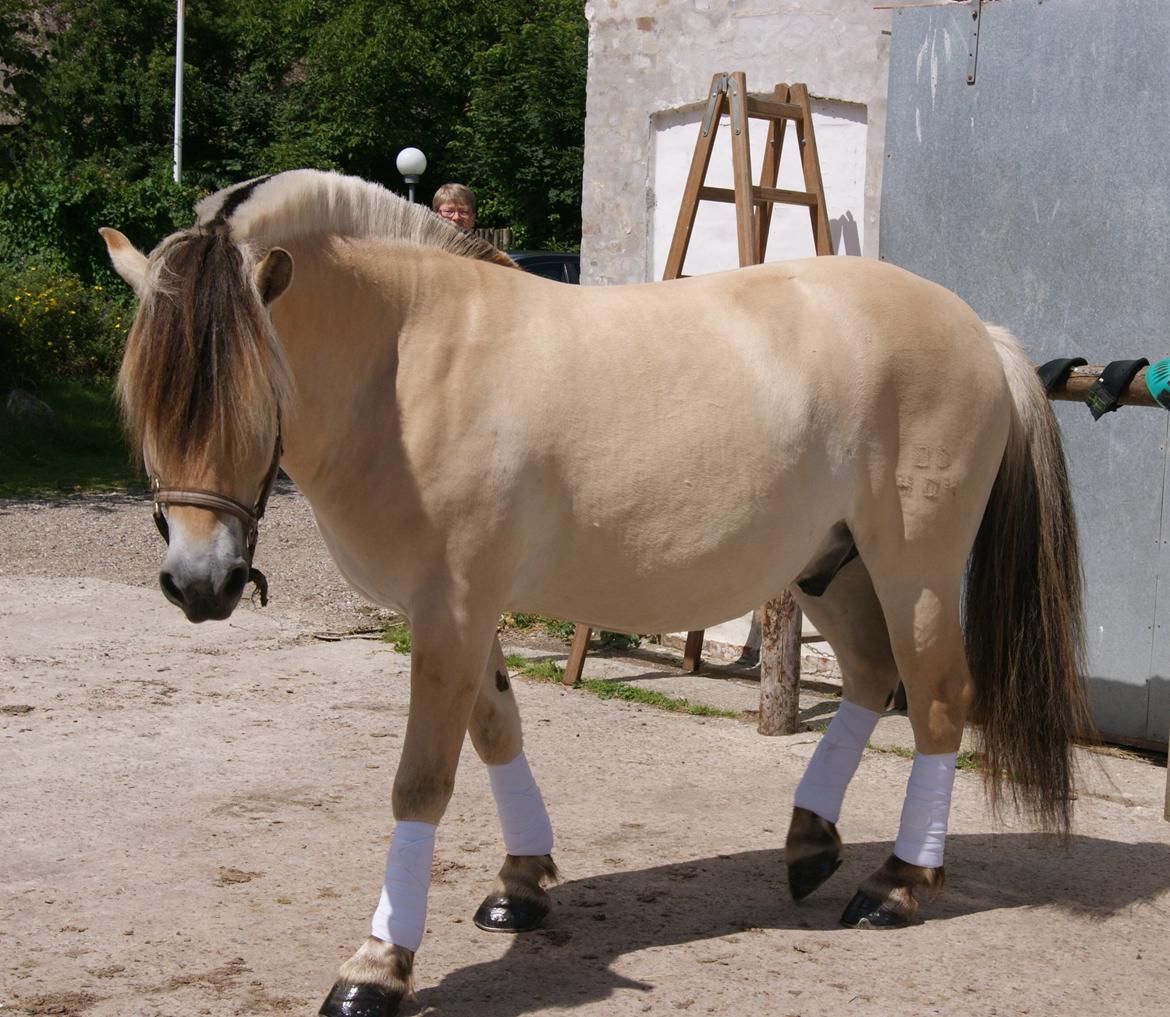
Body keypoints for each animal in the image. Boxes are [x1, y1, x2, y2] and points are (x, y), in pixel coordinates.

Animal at [102, 170, 1085, 1011]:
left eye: (252, 390)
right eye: (145, 397)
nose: (199, 582)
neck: (411, 358)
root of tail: (979, 332)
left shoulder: (451, 607)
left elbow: (422, 779)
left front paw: (378, 963)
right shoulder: (461, 610)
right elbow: (498, 730)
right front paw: (522, 884)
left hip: (913, 568)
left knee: (939, 699)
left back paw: (898, 883)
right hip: (828, 567)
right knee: (876, 678)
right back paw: (812, 842)